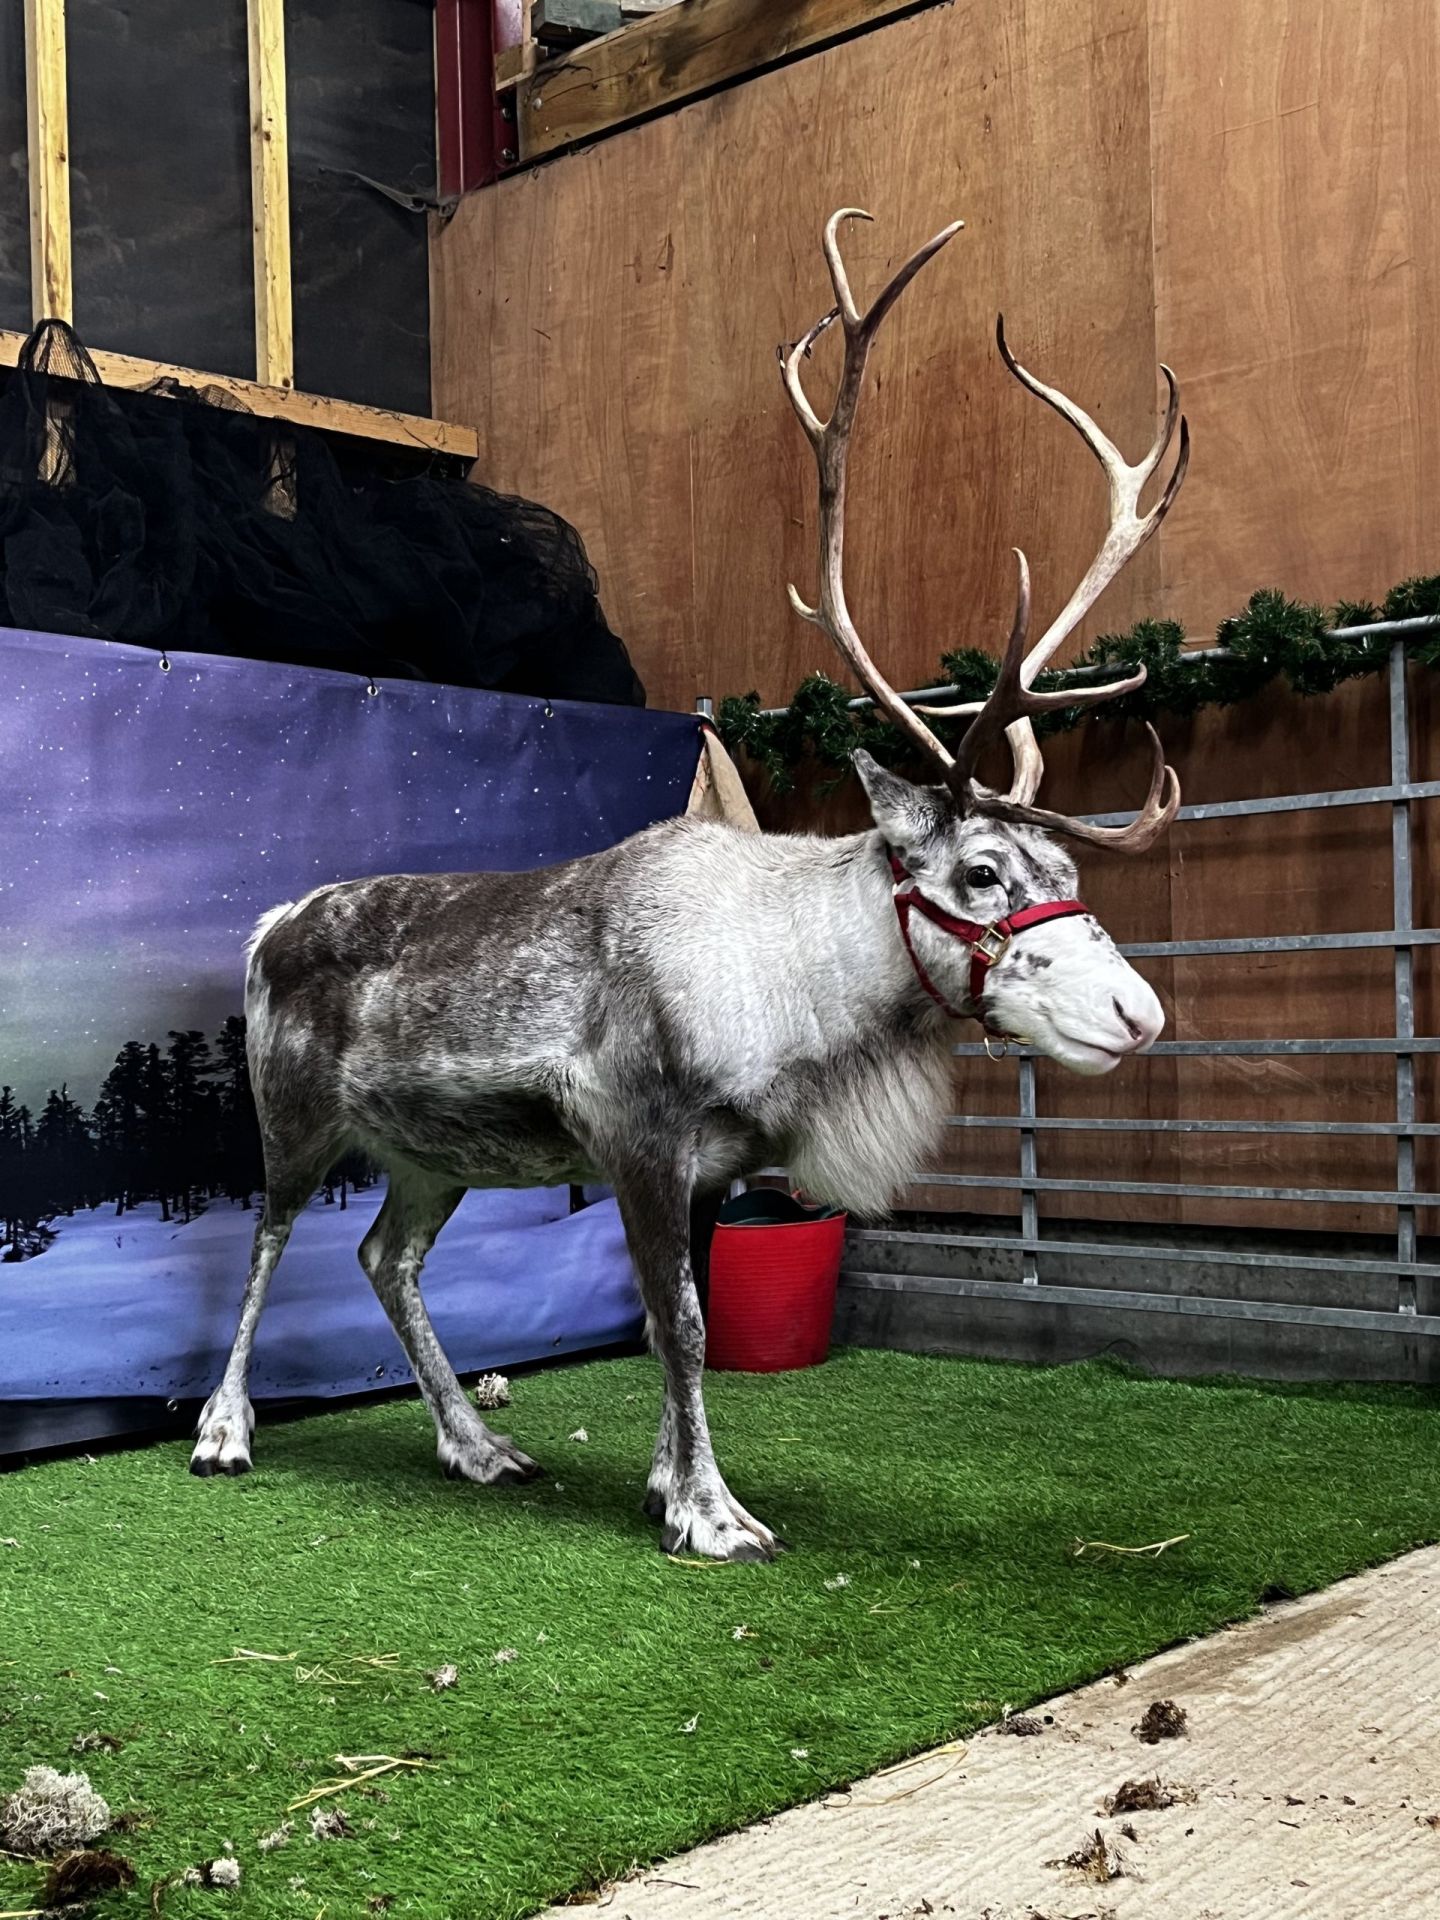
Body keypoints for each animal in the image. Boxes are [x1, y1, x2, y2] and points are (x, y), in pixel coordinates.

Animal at [190, 209, 1188, 1562]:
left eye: (1071, 867)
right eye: (982, 870)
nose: (1139, 1012)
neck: (800, 993)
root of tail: (268, 921)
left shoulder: (712, 1162)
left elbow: (686, 1320)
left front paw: (668, 1482)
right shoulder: (641, 1133)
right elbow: (684, 1325)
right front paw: (713, 1516)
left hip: (432, 1153)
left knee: (384, 1259)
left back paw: (476, 1445)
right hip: (292, 1113)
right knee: (269, 1239)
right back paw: (224, 1432)